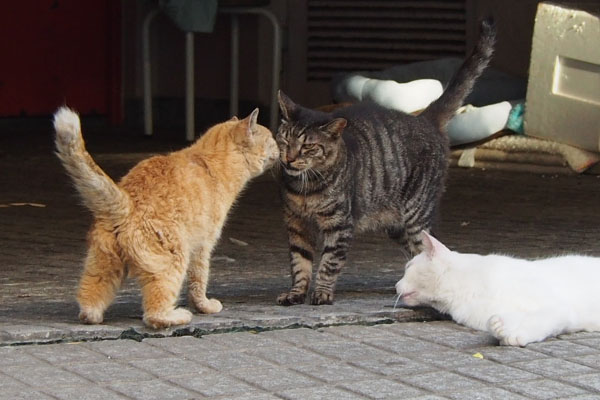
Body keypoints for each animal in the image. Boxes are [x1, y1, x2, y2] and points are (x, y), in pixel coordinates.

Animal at [52, 105, 278, 328]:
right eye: (271, 139)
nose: (279, 147)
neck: (209, 159)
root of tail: (127, 203)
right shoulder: (202, 246)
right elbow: (199, 281)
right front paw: (204, 306)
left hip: (103, 266)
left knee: (89, 301)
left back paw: (93, 317)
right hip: (174, 260)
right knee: (154, 313)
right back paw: (177, 316)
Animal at [276, 19, 496, 306]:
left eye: (308, 147)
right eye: (284, 139)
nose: (288, 158)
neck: (306, 189)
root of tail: (425, 118)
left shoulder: (339, 226)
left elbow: (329, 263)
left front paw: (322, 292)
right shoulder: (296, 225)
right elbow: (299, 263)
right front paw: (296, 293)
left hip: (416, 215)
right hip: (397, 226)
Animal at [394, 231, 600, 346]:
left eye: (408, 267)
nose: (395, 286)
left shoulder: (559, 309)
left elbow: (539, 320)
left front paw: (515, 334)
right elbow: (501, 319)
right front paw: (501, 327)